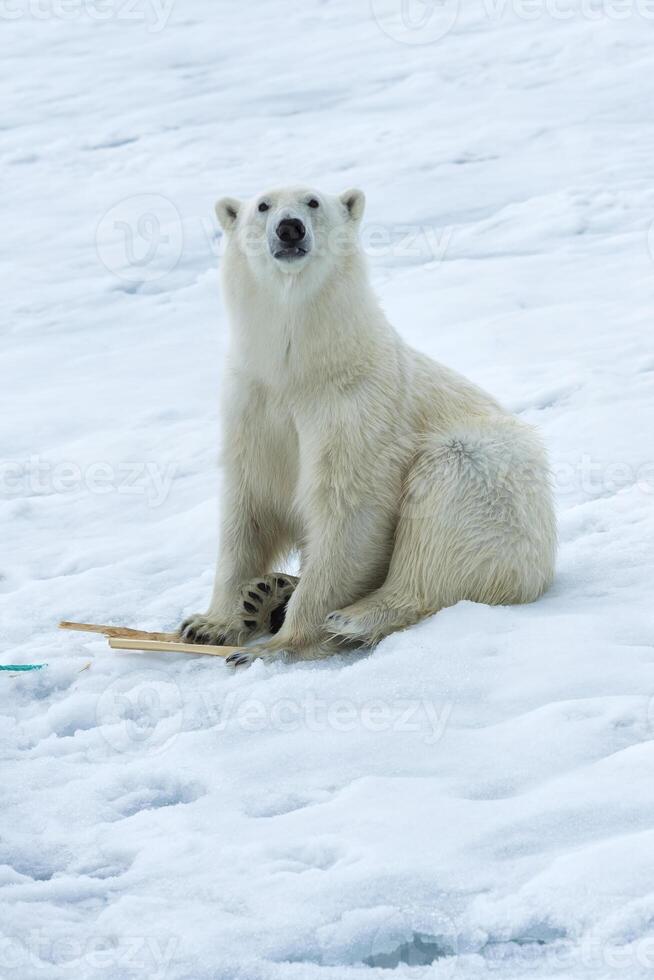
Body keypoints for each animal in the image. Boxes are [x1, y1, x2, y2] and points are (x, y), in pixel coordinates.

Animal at [181, 185, 560, 668]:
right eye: (263, 205)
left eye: (313, 202)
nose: (289, 229)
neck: (302, 371)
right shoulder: (254, 406)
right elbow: (248, 507)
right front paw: (210, 623)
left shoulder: (357, 407)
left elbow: (349, 510)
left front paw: (276, 646)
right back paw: (267, 594)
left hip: (489, 474)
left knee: (444, 512)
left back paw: (357, 616)